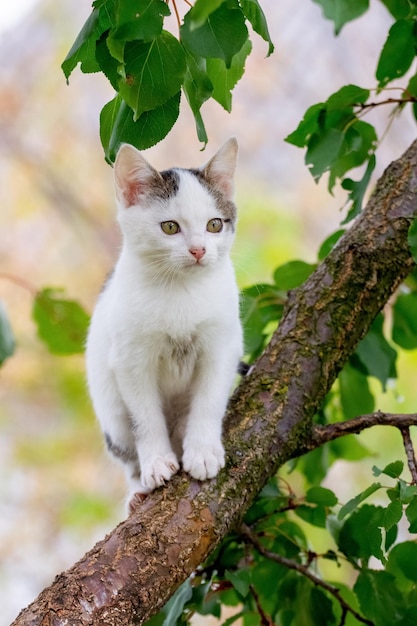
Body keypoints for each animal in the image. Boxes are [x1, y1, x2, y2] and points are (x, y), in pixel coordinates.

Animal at [85, 136, 240, 502]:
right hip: (112, 421)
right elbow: (144, 416)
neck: (180, 289)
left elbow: (209, 400)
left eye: (215, 224)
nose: (198, 250)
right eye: (170, 227)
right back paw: (138, 489)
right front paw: (155, 462)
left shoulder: (223, 345)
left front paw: (203, 451)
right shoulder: (128, 359)